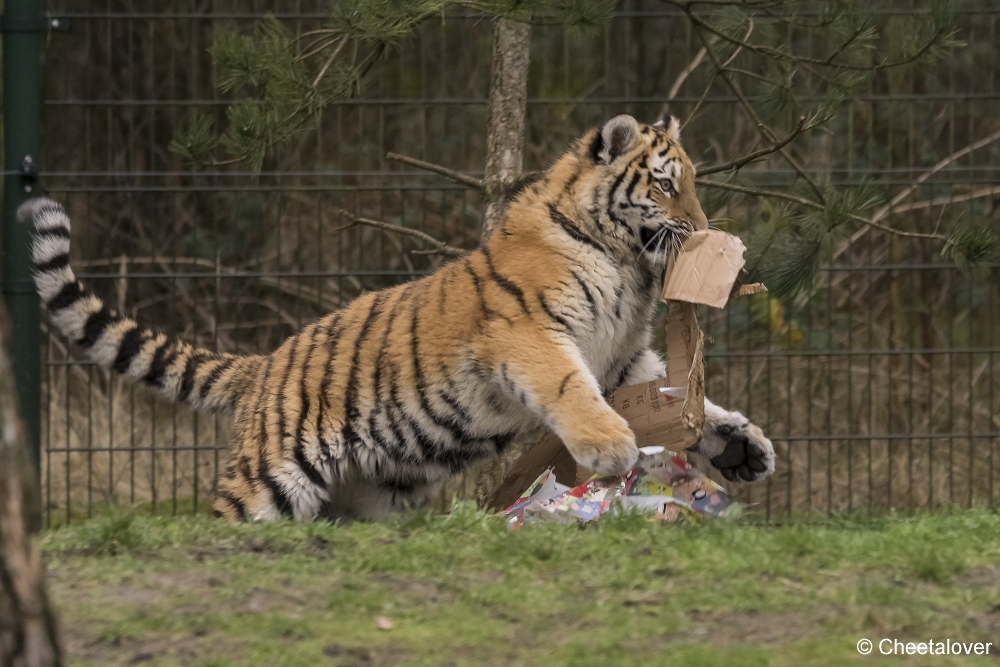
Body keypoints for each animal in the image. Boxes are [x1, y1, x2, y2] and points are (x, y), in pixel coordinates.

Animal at [21, 113, 772, 520]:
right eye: (667, 184)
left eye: (693, 181)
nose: (704, 228)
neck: (624, 261)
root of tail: (263, 366)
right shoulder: (533, 334)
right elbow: (571, 389)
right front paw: (611, 446)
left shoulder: (622, 357)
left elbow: (690, 405)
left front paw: (741, 446)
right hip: (270, 475)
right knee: (228, 515)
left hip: (375, 488)